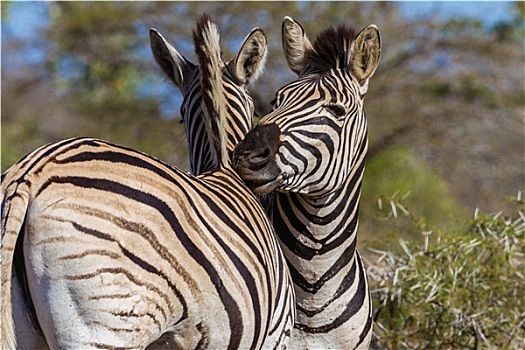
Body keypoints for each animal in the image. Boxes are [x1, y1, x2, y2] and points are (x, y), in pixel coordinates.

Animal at [1, 15, 294, 348]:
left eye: (180, 117)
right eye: (257, 109)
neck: (225, 169)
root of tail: (31, 172)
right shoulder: (276, 335)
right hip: (106, 324)